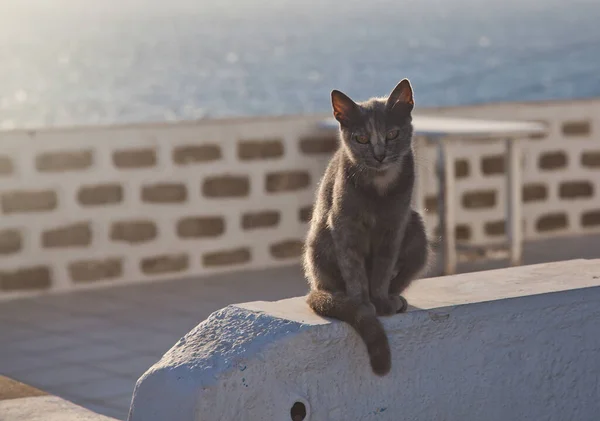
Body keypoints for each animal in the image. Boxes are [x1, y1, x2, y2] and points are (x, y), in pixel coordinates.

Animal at [304, 79, 426, 374]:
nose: (380, 155)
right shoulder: (343, 225)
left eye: (392, 134)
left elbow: (383, 269)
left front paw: (381, 300)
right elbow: (354, 270)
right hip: (319, 243)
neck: (379, 188)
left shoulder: (396, 225)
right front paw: (362, 305)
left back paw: (396, 300)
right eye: (361, 138)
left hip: (418, 232)